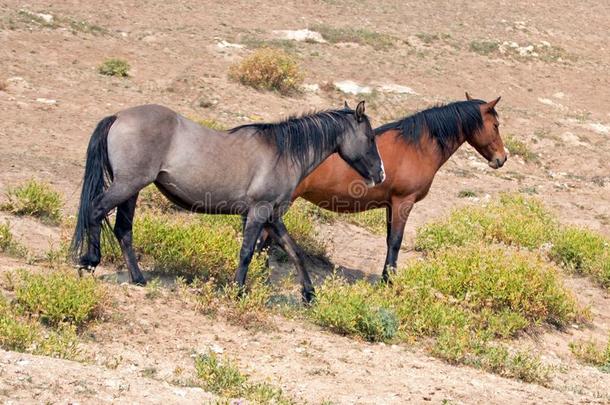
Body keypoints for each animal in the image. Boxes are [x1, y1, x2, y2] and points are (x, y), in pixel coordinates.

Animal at [71, 101, 382, 300]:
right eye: (370, 137)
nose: (380, 173)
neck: (283, 153)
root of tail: (119, 116)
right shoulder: (258, 212)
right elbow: (246, 252)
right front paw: (238, 291)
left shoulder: (272, 216)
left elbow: (294, 251)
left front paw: (309, 294)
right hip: (127, 186)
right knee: (96, 211)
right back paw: (89, 261)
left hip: (131, 190)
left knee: (123, 230)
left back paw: (138, 278)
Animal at [288, 93, 506, 280]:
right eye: (496, 125)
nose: (502, 158)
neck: (416, 147)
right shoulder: (403, 202)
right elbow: (395, 241)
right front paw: (389, 280)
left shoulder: (390, 205)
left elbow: (388, 239)